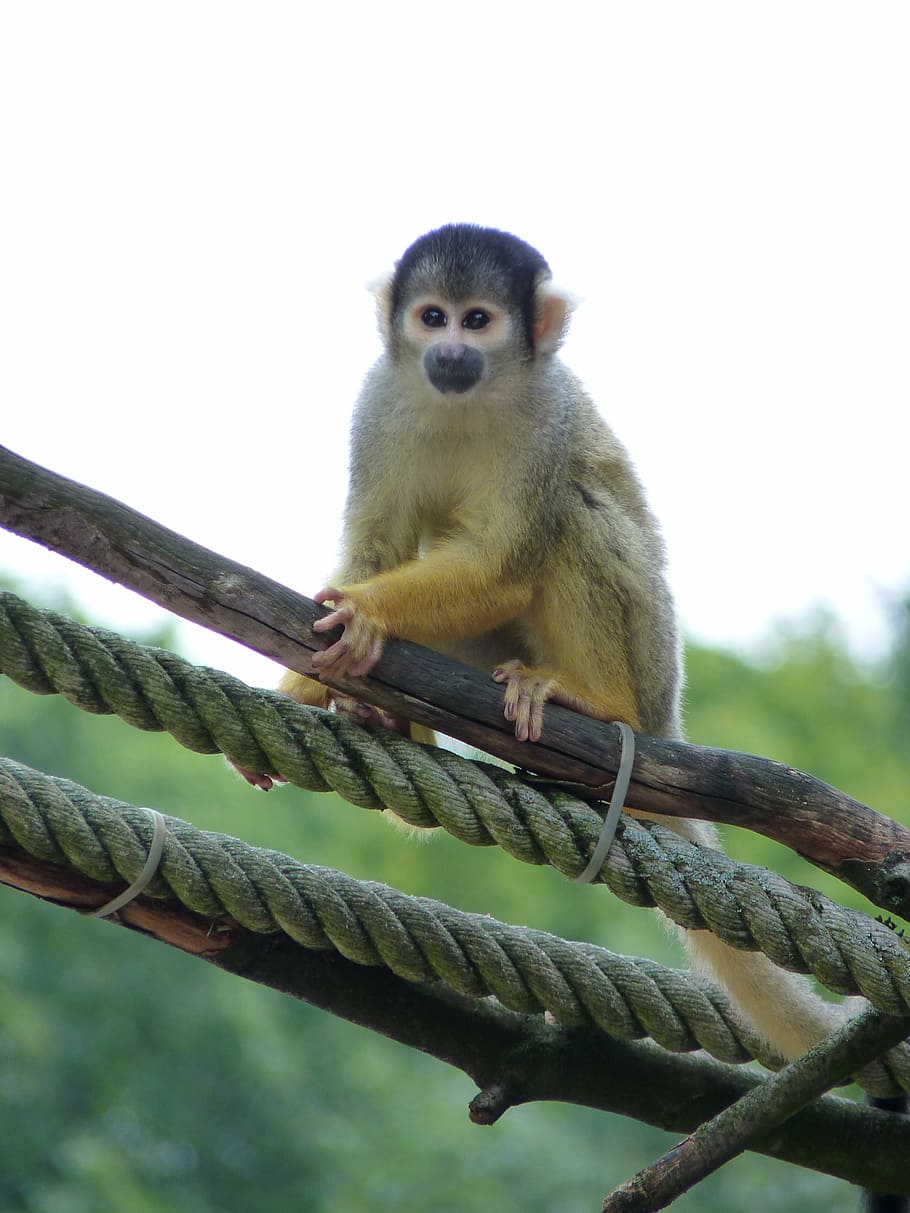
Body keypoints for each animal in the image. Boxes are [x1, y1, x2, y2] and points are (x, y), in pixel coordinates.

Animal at [252, 223, 850, 1063]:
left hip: (651, 650)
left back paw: (599, 702)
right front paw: (311, 671)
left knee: (572, 504)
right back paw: (392, 717)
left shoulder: (548, 417)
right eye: (433, 318)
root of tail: (668, 715)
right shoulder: (377, 401)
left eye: (479, 321)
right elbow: (376, 545)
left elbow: (505, 562)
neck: (470, 398)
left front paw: (368, 616)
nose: (451, 353)